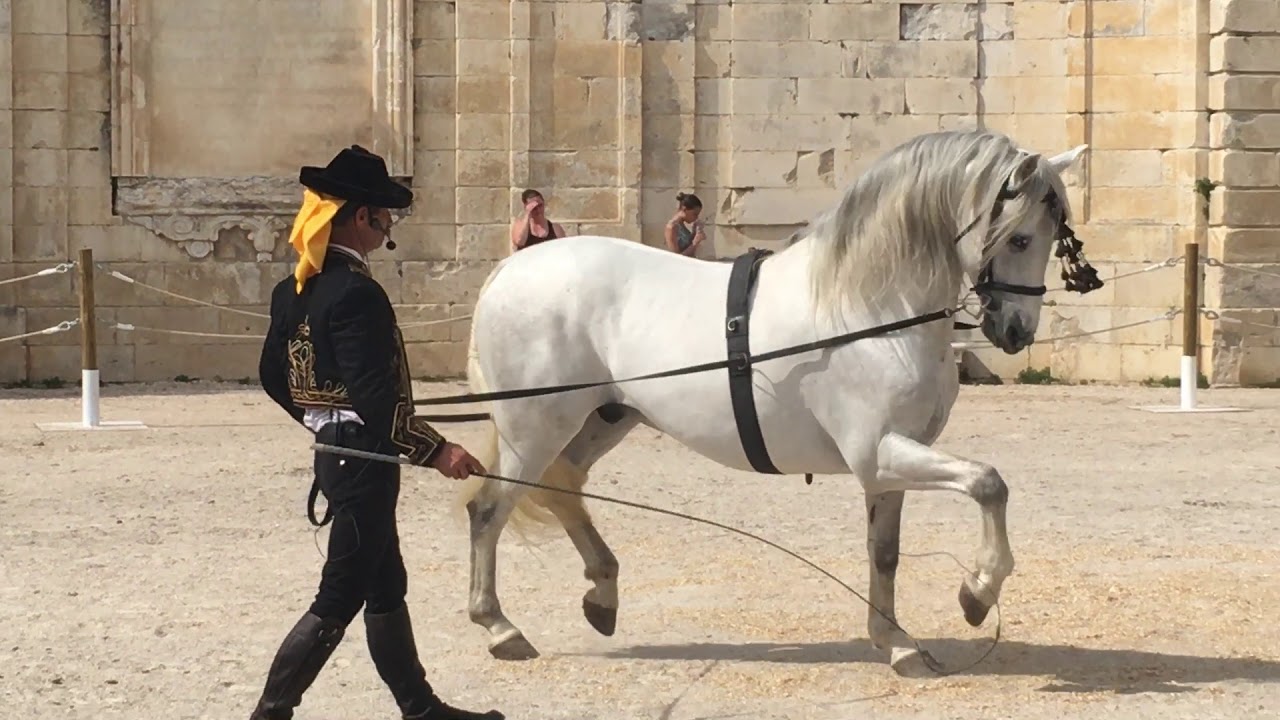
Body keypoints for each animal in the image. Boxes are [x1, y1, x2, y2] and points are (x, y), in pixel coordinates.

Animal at [452, 129, 1091, 677]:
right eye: (1019, 237)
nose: (1016, 331)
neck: (868, 305)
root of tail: (511, 268)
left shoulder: (886, 466)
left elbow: (885, 552)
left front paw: (897, 643)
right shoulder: (879, 452)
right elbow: (988, 483)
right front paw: (976, 593)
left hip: (601, 420)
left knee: (561, 490)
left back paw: (602, 593)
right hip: (535, 429)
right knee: (489, 509)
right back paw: (500, 628)